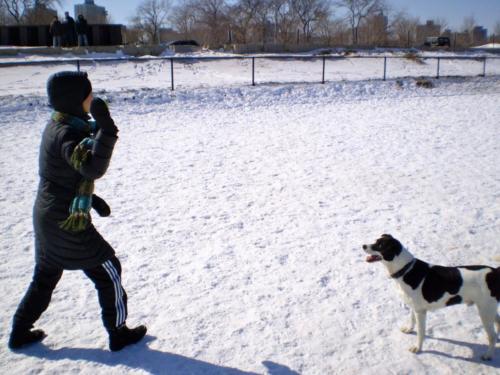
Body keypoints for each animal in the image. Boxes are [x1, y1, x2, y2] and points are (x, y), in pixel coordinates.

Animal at [364, 235, 500, 362]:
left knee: (492, 336)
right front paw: (409, 329)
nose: (363, 246)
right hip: (489, 309)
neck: (405, 270)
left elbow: (420, 333)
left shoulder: (420, 312)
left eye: (380, 245)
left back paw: (488, 355)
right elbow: (412, 320)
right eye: (375, 241)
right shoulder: (414, 307)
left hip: (485, 311)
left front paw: (417, 348)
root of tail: (494, 272)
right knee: (497, 324)